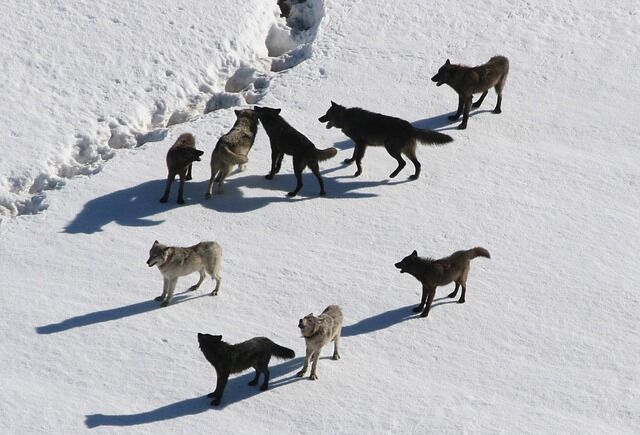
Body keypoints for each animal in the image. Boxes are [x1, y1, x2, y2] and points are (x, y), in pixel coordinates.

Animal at [318, 103, 452, 180]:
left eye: (327, 114)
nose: (319, 118)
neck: (346, 117)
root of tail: (410, 127)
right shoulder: (358, 144)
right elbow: (354, 155)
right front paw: (349, 162)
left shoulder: (361, 144)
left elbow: (358, 159)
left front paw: (358, 172)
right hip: (407, 151)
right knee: (417, 164)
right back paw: (414, 177)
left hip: (391, 149)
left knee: (403, 163)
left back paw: (393, 175)